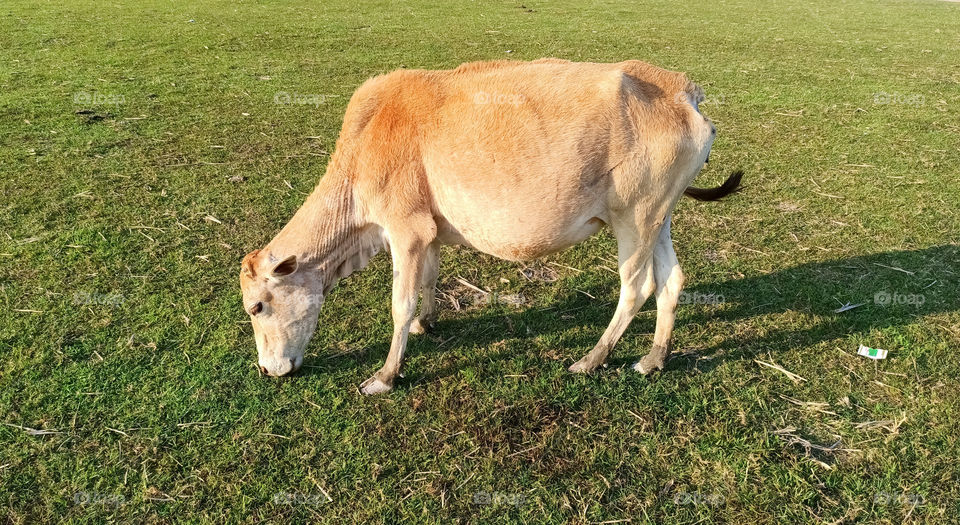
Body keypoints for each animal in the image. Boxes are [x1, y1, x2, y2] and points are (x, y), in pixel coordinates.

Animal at [239, 58, 741, 394]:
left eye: (257, 307)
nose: (265, 369)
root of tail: (681, 88)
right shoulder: (429, 231)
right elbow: (429, 280)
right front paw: (426, 323)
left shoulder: (405, 230)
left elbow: (399, 304)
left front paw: (385, 375)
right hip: (659, 215)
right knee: (672, 280)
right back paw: (653, 358)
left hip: (634, 216)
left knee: (637, 288)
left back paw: (591, 359)